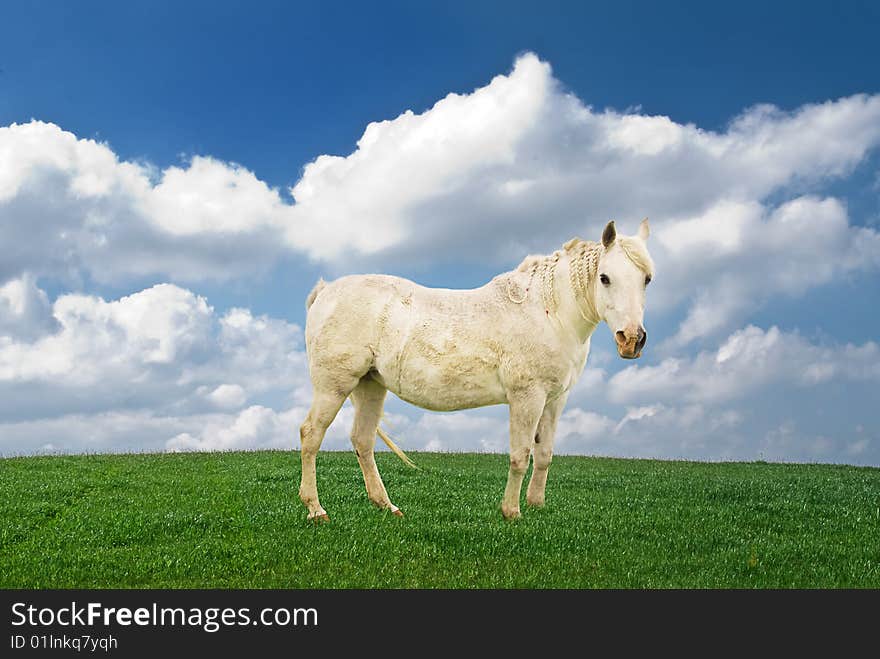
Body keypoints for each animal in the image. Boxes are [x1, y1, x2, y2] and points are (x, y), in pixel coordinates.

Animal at [300, 220, 648, 520]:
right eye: (604, 278)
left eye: (646, 279)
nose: (631, 340)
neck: (548, 311)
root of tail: (325, 291)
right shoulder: (527, 397)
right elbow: (521, 454)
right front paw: (511, 512)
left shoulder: (554, 400)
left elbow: (544, 454)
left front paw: (536, 506)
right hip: (334, 385)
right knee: (311, 435)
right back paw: (316, 510)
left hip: (370, 385)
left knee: (362, 440)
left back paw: (387, 506)